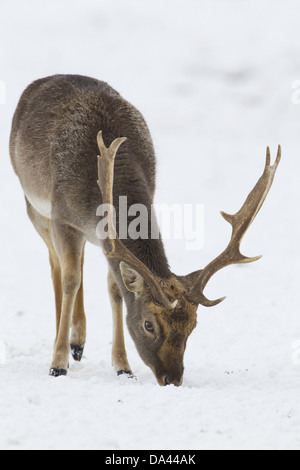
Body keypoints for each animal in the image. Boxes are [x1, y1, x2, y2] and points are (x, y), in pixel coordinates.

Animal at [9, 75, 282, 388]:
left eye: (193, 325)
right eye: (148, 324)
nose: (172, 379)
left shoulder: (107, 240)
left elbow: (115, 289)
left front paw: (123, 366)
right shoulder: (63, 219)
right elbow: (70, 280)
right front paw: (57, 364)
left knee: (79, 262)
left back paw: (79, 342)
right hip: (34, 206)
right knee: (58, 266)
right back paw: (67, 343)